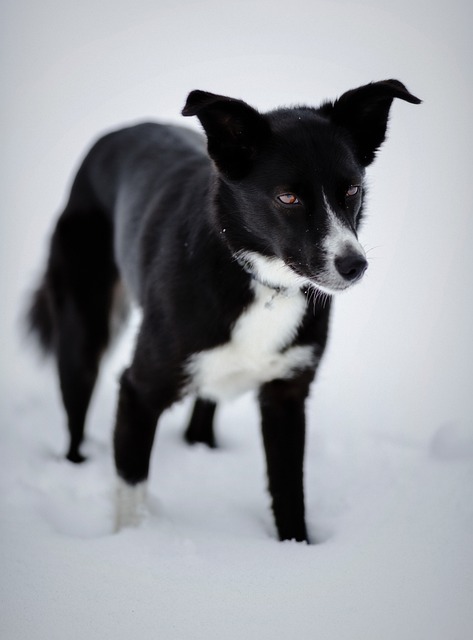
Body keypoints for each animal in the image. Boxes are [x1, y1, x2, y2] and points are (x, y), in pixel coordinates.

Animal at [27, 79, 418, 540]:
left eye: (352, 190)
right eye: (288, 197)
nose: (354, 265)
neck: (263, 282)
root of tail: (115, 134)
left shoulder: (287, 394)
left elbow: (290, 492)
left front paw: (296, 546)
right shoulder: (138, 391)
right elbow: (132, 492)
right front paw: (132, 542)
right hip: (82, 329)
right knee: (75, 414)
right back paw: (75, 462)